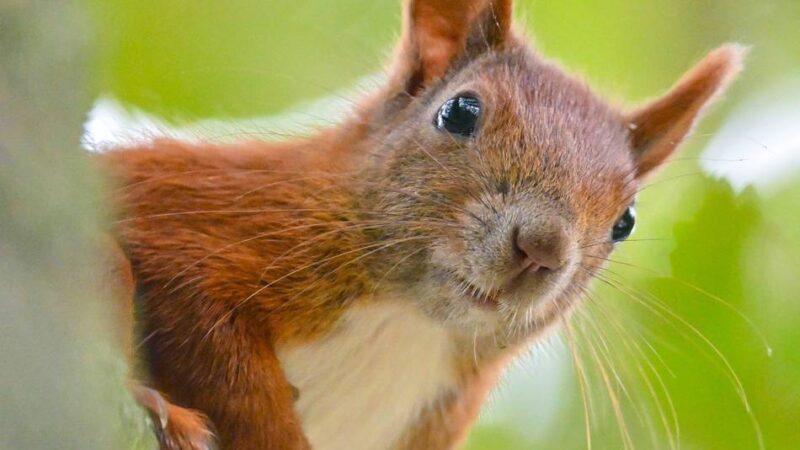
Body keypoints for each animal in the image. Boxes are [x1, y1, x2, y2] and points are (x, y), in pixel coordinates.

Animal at [98, 0, 744, 448]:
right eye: (459, 111)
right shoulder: (202, 220)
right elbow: (222, 360)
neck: (409, 322)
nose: (542, 248)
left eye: (625, 221)